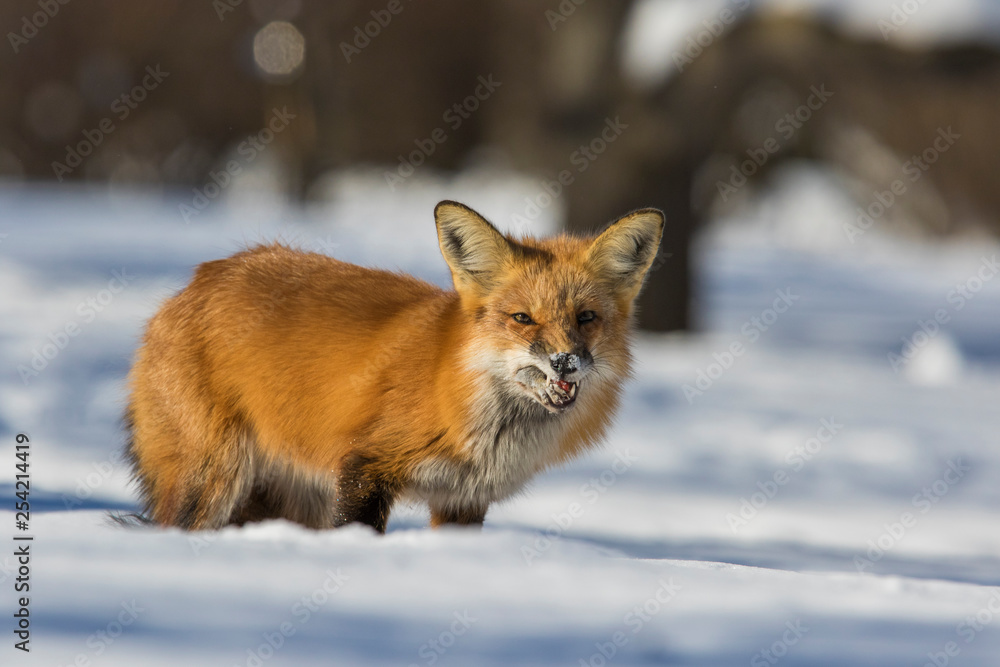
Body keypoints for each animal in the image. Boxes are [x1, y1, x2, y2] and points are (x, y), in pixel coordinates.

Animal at [123, 200, 663, 532]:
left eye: (586, 318)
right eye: (522, 318)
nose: (565, 362)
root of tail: (197, 280)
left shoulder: (462, 501)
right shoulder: (366, 467)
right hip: (212, 480)